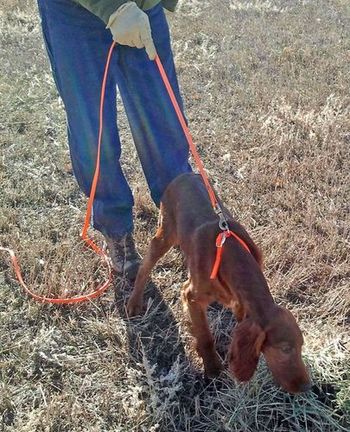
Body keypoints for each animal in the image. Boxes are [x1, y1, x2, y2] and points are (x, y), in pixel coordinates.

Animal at [126, 173, 312, 394]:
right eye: (285, 349)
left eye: (301, 346)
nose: (307, 387)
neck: (232, 257)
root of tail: (182, 175)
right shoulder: (191, 296)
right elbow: (205, 336)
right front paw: (212, 368)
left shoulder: (240, 305)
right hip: (165, 234)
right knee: (145, 266)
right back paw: (134, 302)